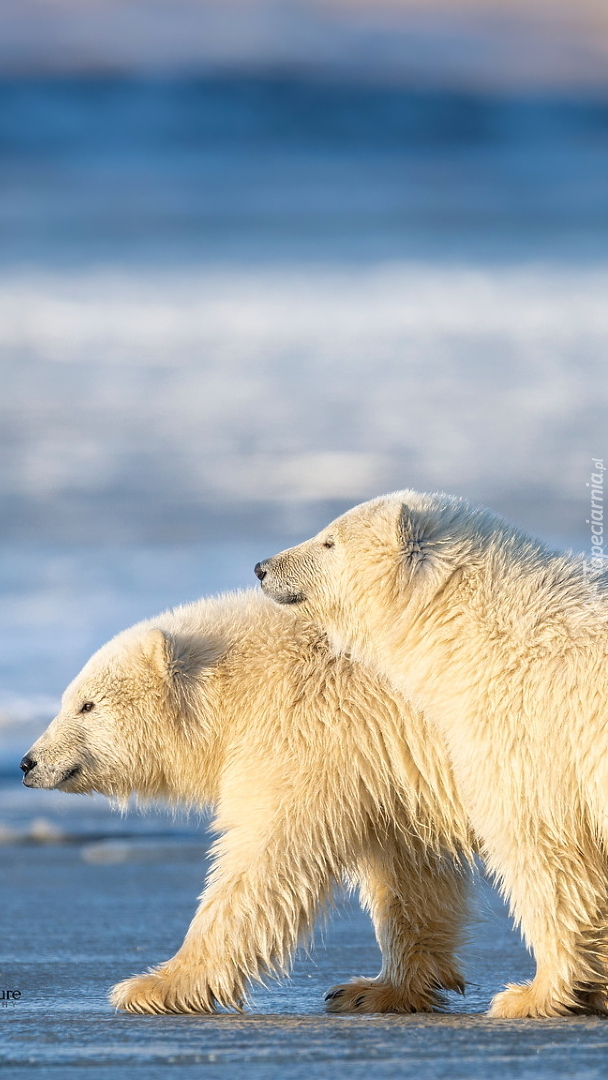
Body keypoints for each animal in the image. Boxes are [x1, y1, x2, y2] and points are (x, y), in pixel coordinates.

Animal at [21, 587, 470, 1015]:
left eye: (87, 704)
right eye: (66, 701)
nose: (29, 762)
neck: (240, 686)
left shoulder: (309, 731)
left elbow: (264, 859)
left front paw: (153, 987)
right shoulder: (388, 775)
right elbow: (410, 875)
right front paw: (376, 990)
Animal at [255, 494, 608, 1015]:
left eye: (329, 541)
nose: (261, 567)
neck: (484, 631)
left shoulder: (528, 731)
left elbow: (544, 854)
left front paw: (531, 995)